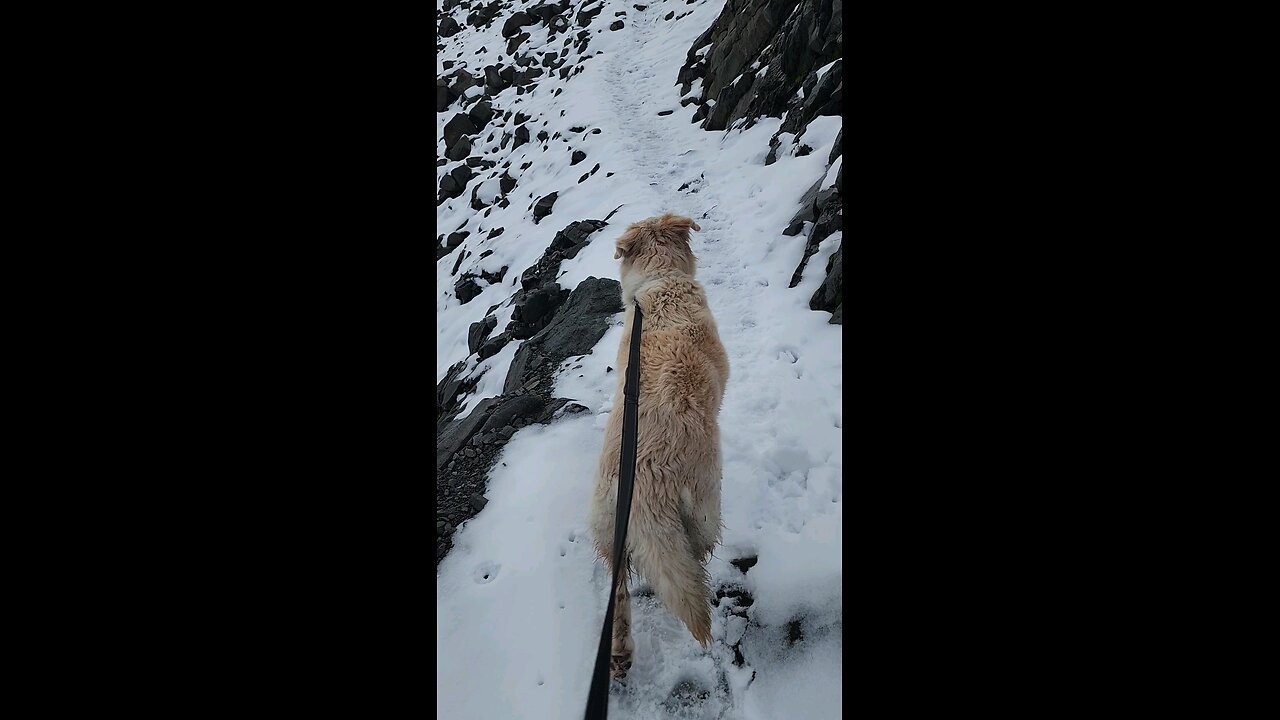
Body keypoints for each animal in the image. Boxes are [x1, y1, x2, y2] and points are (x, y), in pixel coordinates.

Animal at [586, 210, 732, 676]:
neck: (660, 281)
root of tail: (643, 494)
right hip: (703, 505)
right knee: (696, 557)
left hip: (606, 532)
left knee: (618, 592)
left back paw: (619, 653)